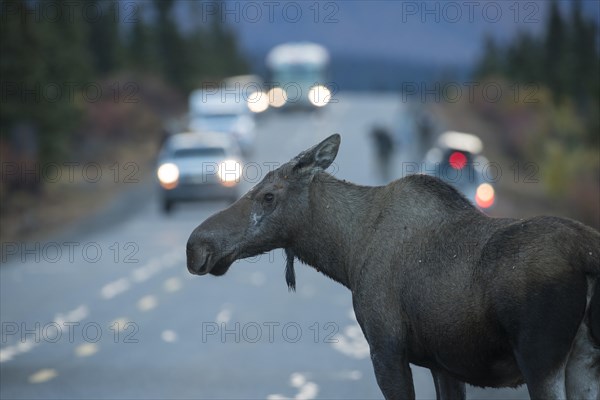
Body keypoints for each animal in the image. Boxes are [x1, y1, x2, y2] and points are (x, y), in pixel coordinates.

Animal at [188, 134, 600, 400]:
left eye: (269, 196)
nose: (196, 246)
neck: (347, 253)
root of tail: (588, 256)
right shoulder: (443, 364)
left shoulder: (386, 347)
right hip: (584, 362)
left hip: (541, 359)